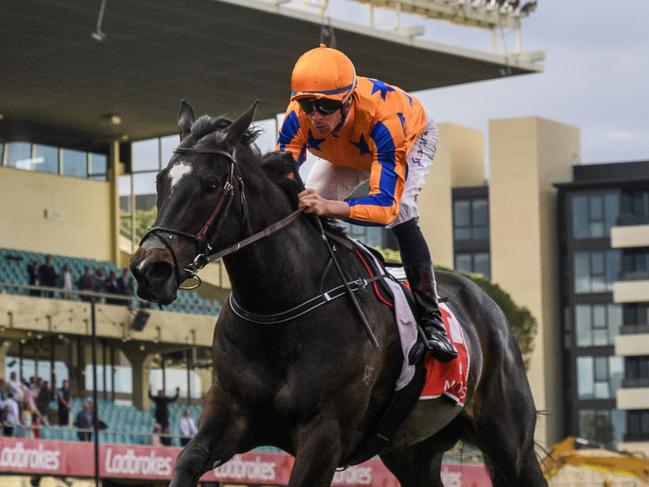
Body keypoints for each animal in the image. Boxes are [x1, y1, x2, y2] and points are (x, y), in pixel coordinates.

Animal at [130, 101, 548, 486]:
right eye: (160, 181)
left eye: (211, 185)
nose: (149, 269)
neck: (279, 307)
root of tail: (487, 304)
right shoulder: (231, 413)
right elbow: (186, 461)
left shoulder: (324, 433)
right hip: (412, 452)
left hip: (509, 443)